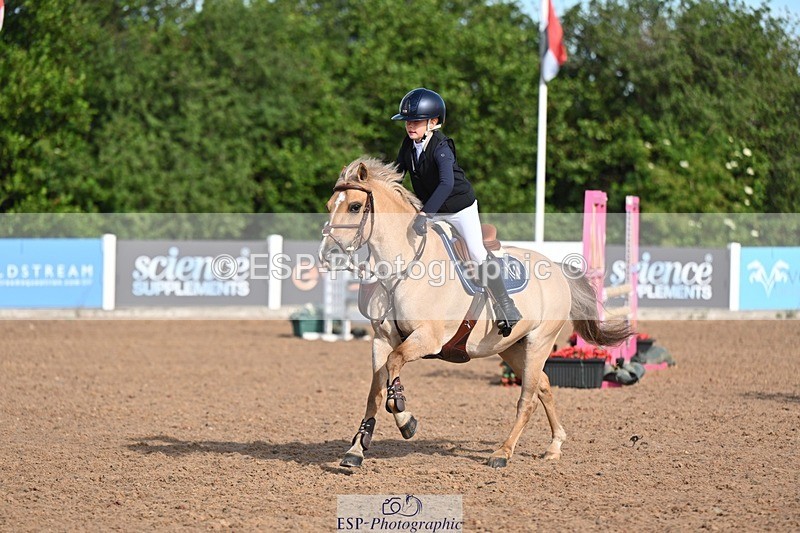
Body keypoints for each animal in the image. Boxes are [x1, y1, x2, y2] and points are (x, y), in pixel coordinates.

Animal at [318, 157, 631, 468]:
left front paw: (406, 421)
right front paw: (356, 450)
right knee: (542, 385)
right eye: (330, 204)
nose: (327, 254)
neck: (402, 266)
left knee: (527, 398)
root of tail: (555, 267)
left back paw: (503, 453)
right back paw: (554, 445)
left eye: (354, 206)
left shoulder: (426, 338)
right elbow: (375, 392)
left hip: (539, 342)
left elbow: (394, 366)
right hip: (510, 347)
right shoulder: (382, 339)